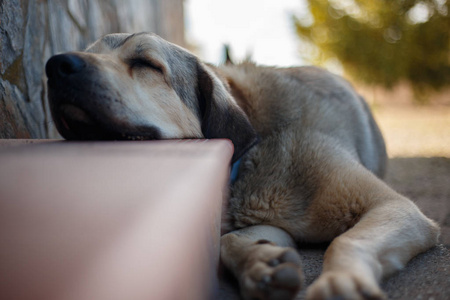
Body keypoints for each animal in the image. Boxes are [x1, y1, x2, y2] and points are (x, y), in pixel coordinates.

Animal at [45, 32, 440, 300]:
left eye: (147, 65)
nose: (56, 65)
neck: (251, 156)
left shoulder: (392, 206)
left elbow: (346, 241)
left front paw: (339, 282)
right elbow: (229, 240)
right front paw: (260, 263)